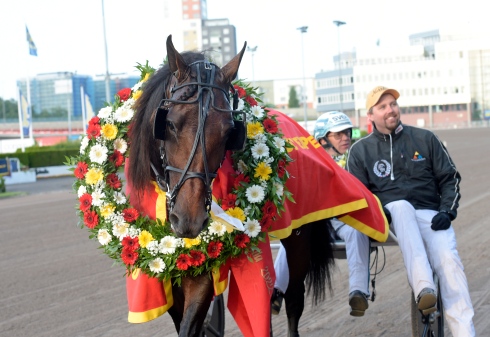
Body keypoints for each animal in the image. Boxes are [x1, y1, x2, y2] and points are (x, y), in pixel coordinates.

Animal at [126, 35, 334, 334]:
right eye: (171, 124)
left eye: (228, 132)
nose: (189, 220)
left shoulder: (205, 265)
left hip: (299, 235)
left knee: (295, 298)